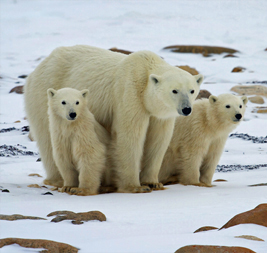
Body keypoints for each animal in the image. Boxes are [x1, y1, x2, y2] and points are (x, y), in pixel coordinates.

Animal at [24, 44, 203, 193]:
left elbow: (158, 140)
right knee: (48, 138)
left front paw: (153, 182)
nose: (186, 109)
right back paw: (60, 180)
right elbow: (129, 136)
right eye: (174, 90)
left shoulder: (159, 114)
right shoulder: (129, 93)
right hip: (45, 94)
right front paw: (135, 186)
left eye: (192, 90)